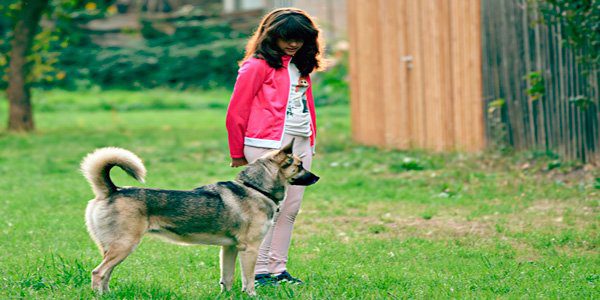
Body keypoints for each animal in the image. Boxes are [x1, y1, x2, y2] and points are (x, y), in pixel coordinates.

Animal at [82, 142, 322, 296]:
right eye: (299, 165)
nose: (317, 177)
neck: (255, 188)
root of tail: (111, 191)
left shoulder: (229, 248)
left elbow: (228, 278)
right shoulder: (250, 249)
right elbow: (248, 280)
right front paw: (251, 294)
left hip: (115, 248)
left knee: (106, 274)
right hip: (124, 246)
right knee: (98, 273)